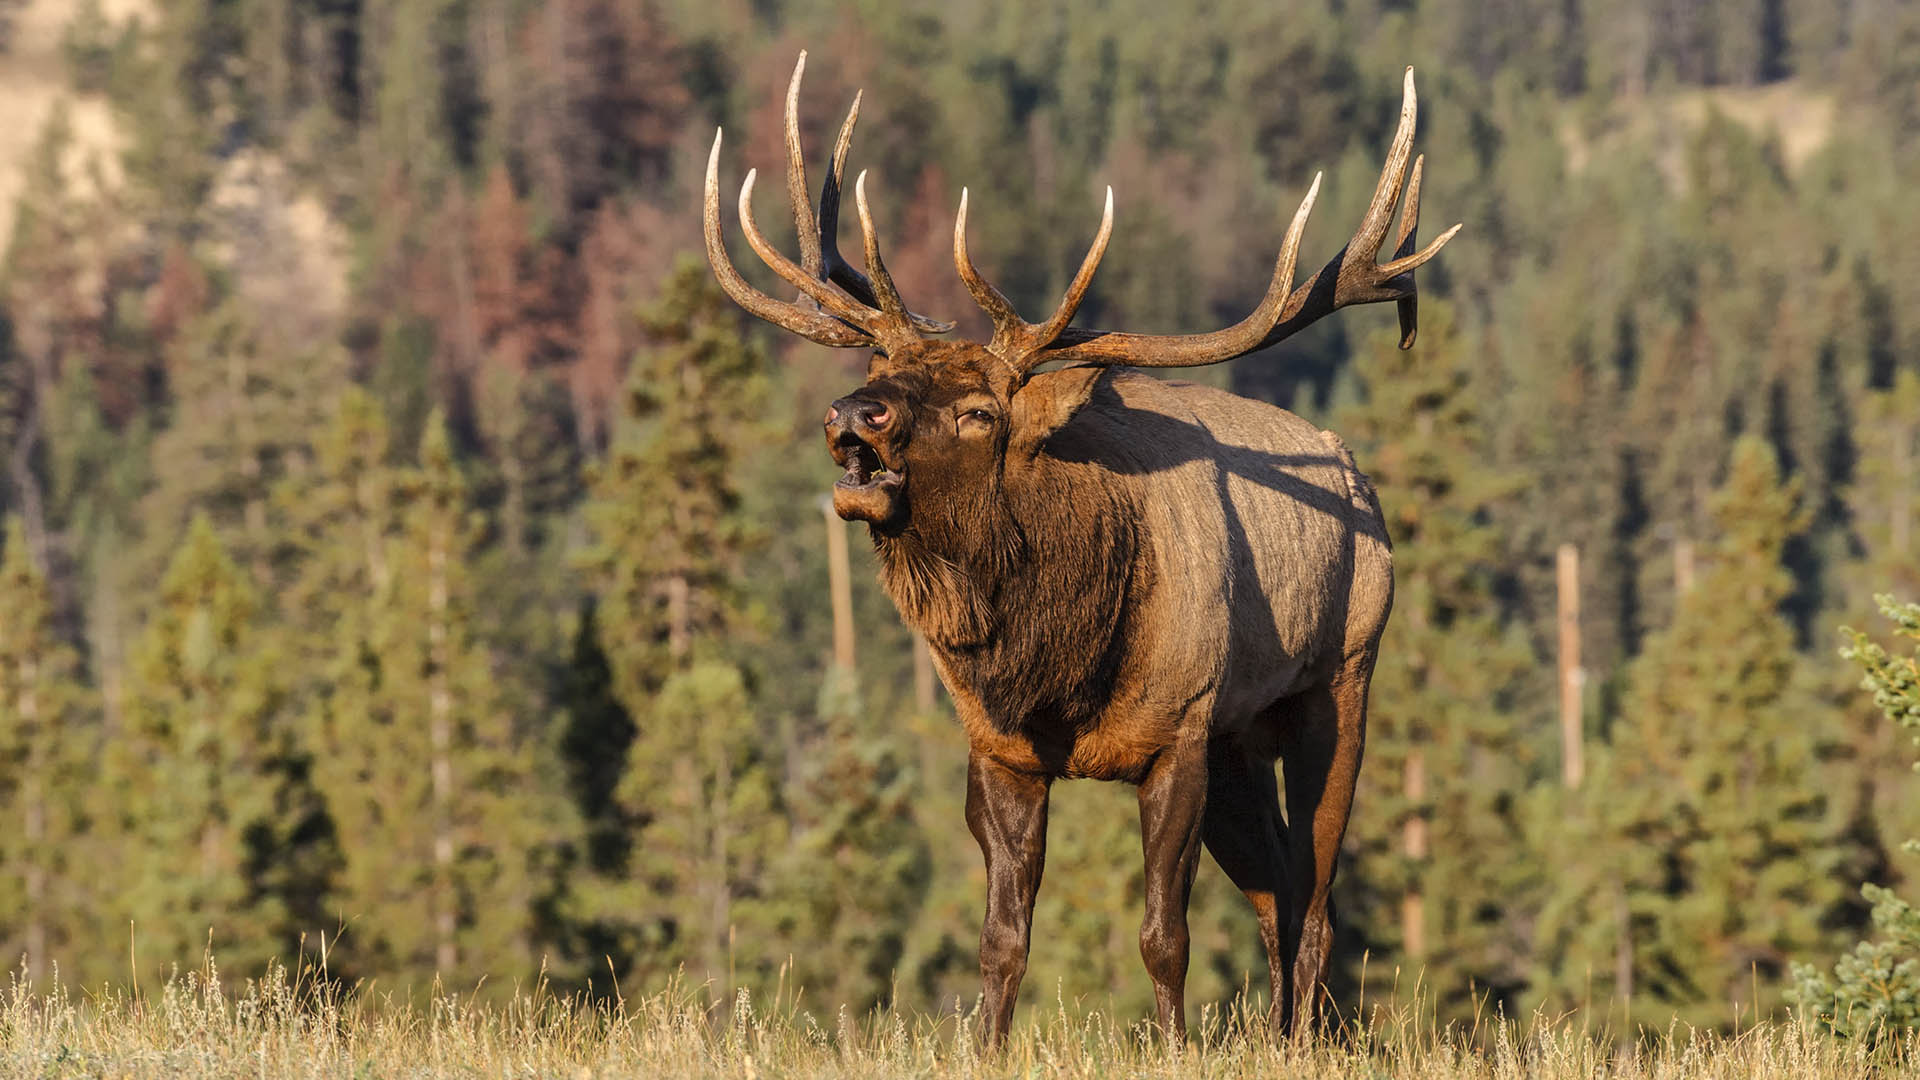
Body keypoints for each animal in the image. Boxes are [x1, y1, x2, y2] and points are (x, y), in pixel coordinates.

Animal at [706, 52, 1451, 1045]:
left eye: (980, 413)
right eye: (880, 374)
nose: (852, 415)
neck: (1058, 666)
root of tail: (1358, 477)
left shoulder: (1179, 732)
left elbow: (1163, 936)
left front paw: (1174, 1049)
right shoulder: (1004, 753)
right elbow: (1002, 940)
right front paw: (986, 1048)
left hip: (1340, 681)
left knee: (1315, 891)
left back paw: (1302, 1040)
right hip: (1240, 742)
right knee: (1276, 895)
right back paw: (1281, 1032)